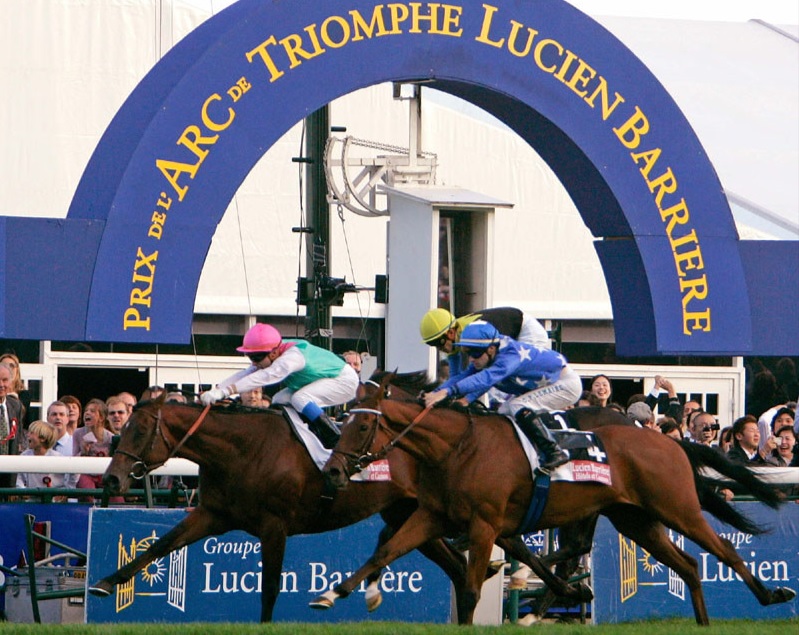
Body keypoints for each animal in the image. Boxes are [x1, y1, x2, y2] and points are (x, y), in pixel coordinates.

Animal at [87, 396, 584, 624]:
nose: (111, 480)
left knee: (506, 544)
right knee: (461, 564)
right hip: (411, 514)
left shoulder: (274, 525)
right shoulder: (213, 514)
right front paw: (106, 583)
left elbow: (270, 585)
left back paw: (560, 589)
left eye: (137, 431)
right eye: (120, 428)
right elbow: (162, 545)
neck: (244, 450)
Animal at [318, 376, 792, 628]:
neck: (457, 447)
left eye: (362, 427)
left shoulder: (485, 524)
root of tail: (667, 440)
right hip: (635, 520)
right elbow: (385, 551)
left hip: (677, 508)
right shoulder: (434, 516)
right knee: (690, 564)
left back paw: (772, 595)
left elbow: (470, 587)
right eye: (344, 422)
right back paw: (703, 621)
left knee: (723, 548)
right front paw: (333, 593)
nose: (334, 471)